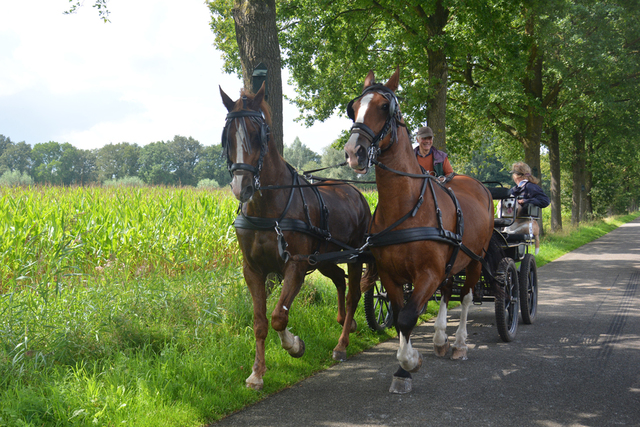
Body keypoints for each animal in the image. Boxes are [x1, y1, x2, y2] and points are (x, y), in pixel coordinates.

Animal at [220, 83, 372, 392]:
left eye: (257, 134)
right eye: (227, 136)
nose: (242, 187)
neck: (268, 208)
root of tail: (355, 191)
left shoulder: (296, 264)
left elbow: (279, 316)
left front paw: (294, 345)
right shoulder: (253, 270)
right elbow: (261, 321)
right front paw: (257, 373)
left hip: (355, 254)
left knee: (353, 294)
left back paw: (341, 344)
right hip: (325, 258)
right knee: (339, 280)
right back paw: (345, 322)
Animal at [344, 70, 496, 394]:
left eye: (384, 107)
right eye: (354, 107)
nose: (353, 152)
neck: (407, 207)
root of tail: (478, 184)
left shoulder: (427, 273)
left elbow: (407, 317)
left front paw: (410, 363)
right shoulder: (390, 275)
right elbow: (401, 314)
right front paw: (405, 366)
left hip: (475, 259)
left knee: (465, 297)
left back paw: (459, 344)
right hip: (452, 262)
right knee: (448, 291)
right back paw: (440, 339)